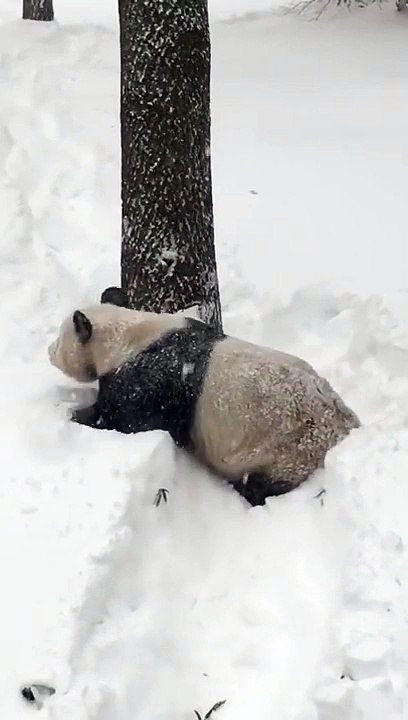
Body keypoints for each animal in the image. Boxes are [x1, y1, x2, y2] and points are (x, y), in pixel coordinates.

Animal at [48, 287, 360, 506]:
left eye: (60, 337)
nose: (49, 352)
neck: (128, 336)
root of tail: (347, 429)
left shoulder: (154, 380)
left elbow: (125, 419)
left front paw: (75, 414)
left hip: (289, 448)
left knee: (262, 484)